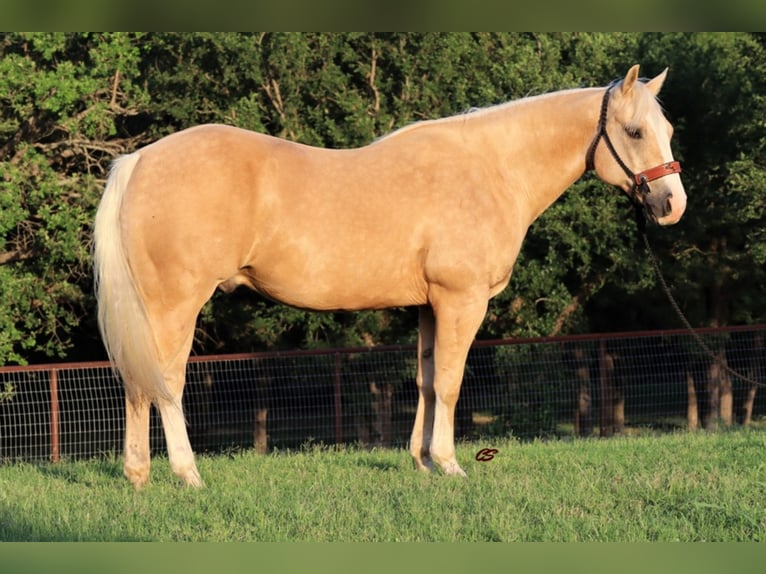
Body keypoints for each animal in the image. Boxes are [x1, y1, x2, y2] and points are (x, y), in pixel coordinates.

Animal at [93, 66, 688, 490]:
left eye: (668, 129)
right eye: (634, 131)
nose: (672, 205)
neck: (491, 170)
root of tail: (139, 160)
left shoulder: (429, 305)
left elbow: (425, 379)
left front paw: (421, 462)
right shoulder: (461, 301)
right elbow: (449, 381)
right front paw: (449, 465)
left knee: (137, 385)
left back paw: (139, 476)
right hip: (175, 304)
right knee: (165, 383)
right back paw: (187, 474)